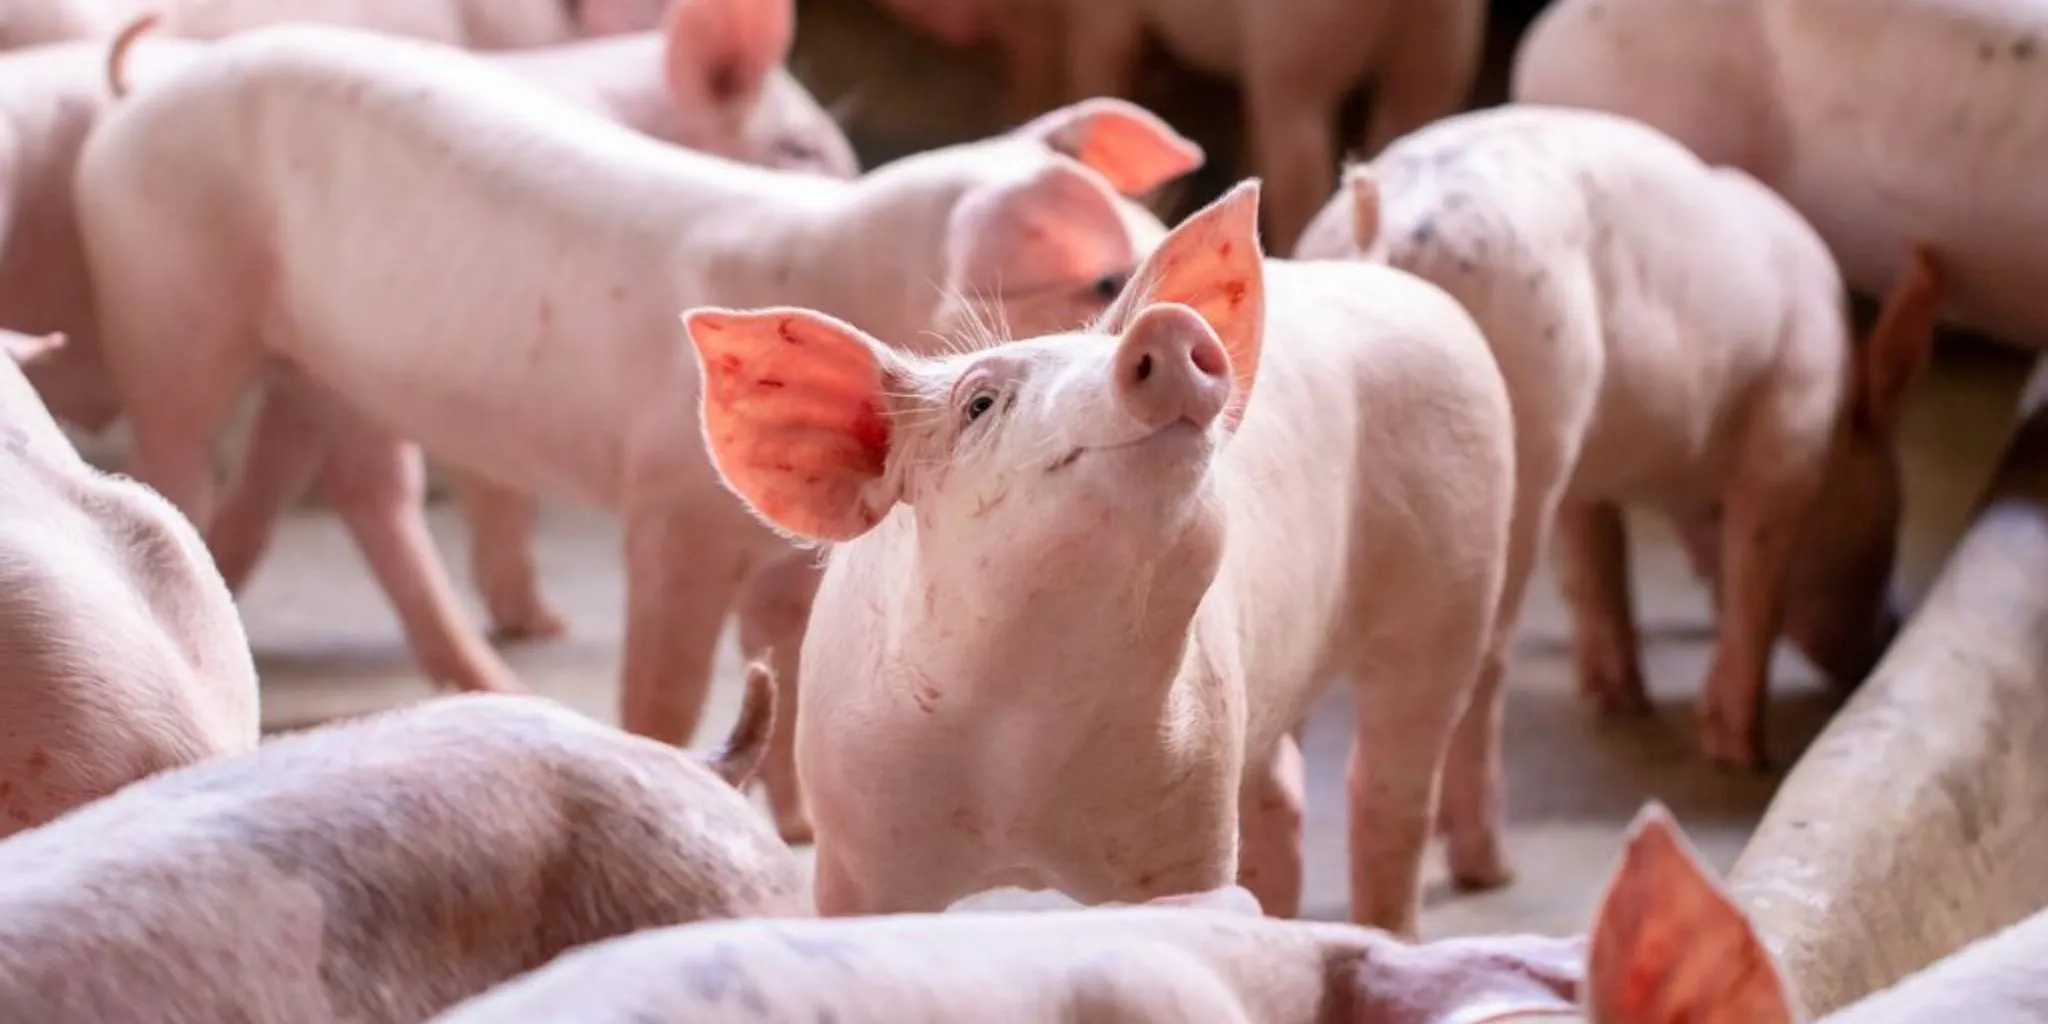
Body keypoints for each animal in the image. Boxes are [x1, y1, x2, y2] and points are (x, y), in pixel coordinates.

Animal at [74, 20, 1202, 845]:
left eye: (1149, 247)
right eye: (1100, 279)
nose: (1191, 337)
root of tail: (138, 99)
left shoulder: (790, 554)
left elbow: (792, 665)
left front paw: (800, 828)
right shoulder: (671, 510)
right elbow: (667, 679)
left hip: (331, 367)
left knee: (366, 490)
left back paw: (496, 675)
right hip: (166, 293)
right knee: (184, 454)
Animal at [684, 180, 1517, 933]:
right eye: (978, 404)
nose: (1168, 327)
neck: (1020, 743)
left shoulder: (1192, 809)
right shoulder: (855, 847)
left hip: (1458, 574)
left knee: (1391, 790)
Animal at [1293, 108, 1938, 797]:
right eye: (1888, 524)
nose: (1889, 631)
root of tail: (1381, 229)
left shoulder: (1587, 474)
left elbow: (1597, 561)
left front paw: (1618, 699)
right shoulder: (1791, 435)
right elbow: (1753, 583)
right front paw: (1742, 755)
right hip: (1527, 432)